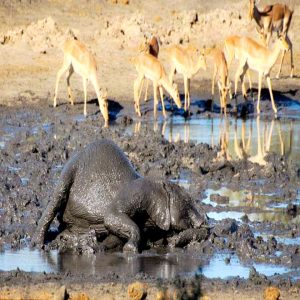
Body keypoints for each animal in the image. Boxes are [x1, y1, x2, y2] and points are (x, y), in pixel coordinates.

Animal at [32, 139, 206, 252]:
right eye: (187, 201)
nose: (203, 223)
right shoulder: (138, 193)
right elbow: (111, 216)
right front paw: (130, 250)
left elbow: (115, 235)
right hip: (67, 176)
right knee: (53, 203)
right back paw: (39, 246)